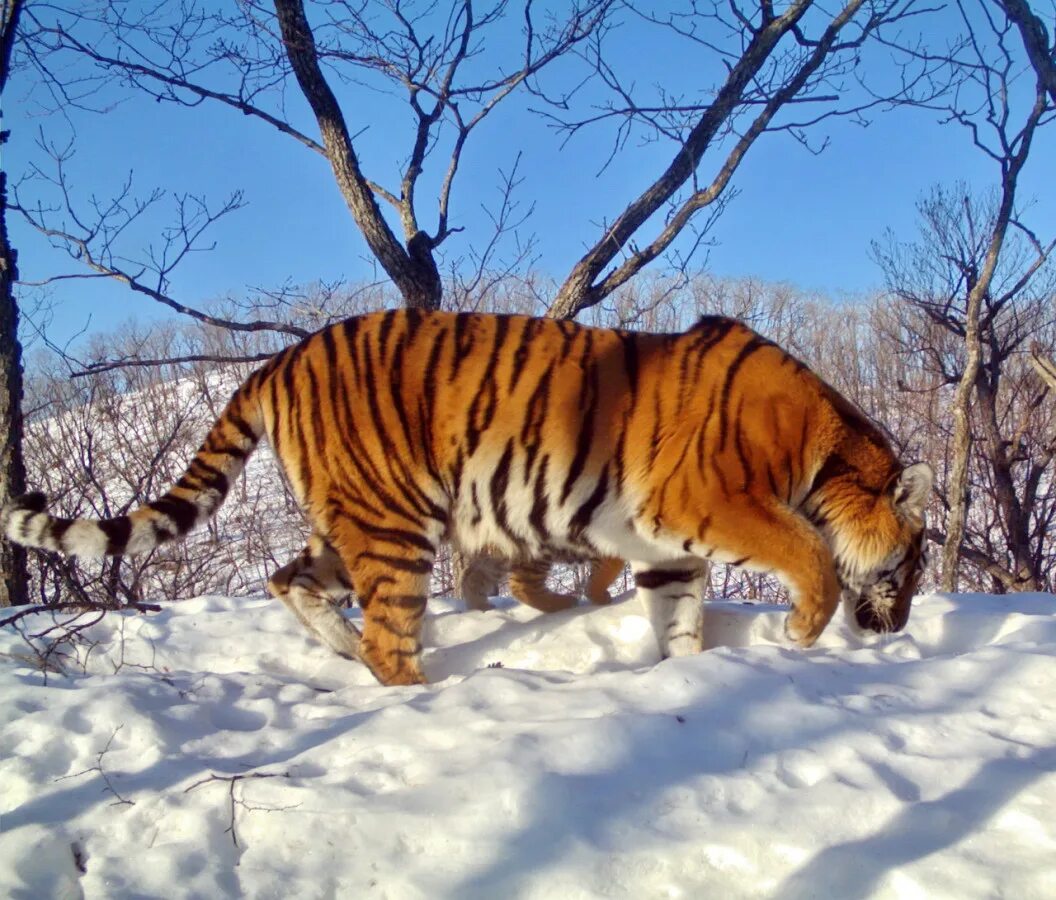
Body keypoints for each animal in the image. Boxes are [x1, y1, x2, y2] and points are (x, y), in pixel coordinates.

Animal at [2, 308, 933, 680]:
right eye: (915, 567)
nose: (899, 628)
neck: (828, 455)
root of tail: (278, 359)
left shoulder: (666, 548)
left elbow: (679, 624)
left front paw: (685, 679)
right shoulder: (710, 500)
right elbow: (811, 555)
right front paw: (802, 633)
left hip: (346, 521)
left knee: (287, 578)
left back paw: (340, 649)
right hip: (393, 522)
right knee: (390, 640)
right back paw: (416, 691)